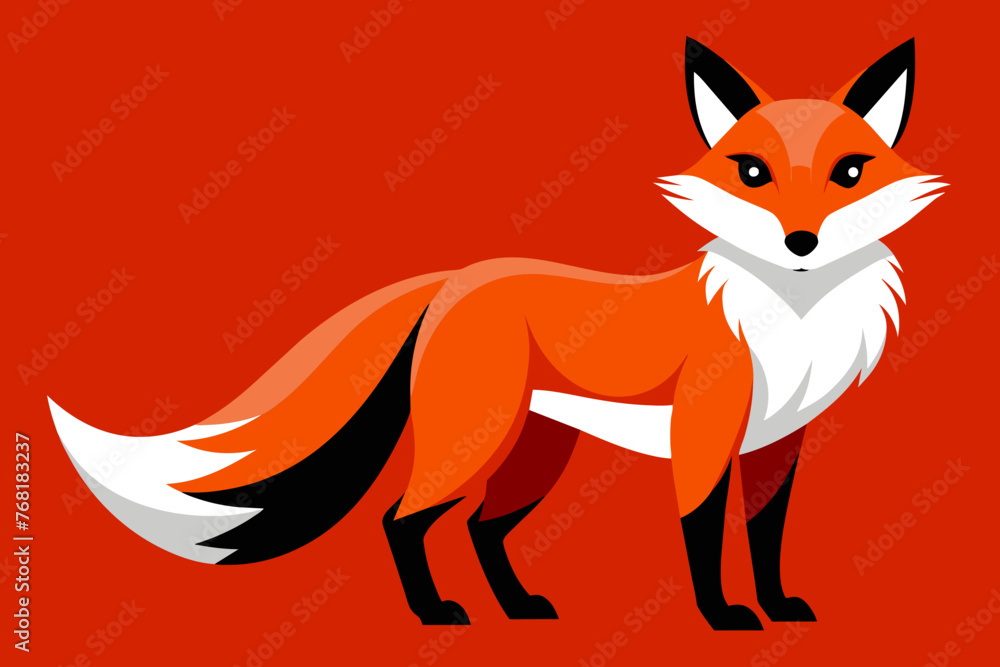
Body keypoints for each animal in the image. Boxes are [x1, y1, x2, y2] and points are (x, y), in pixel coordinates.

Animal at [49, 37, 945, 631]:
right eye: (751, 172)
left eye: (851, 172)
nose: (802, 241)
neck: (792, 321)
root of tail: (456, 278)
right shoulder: (702, 437)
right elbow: (701, 536)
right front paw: (722, 617)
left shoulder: (777, 446)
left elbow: (765, 538)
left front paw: (779, 605)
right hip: (472, 445)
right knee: (402, 519)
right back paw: (436, 613)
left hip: (533, 455)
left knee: (481, 527)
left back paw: (516, 607)